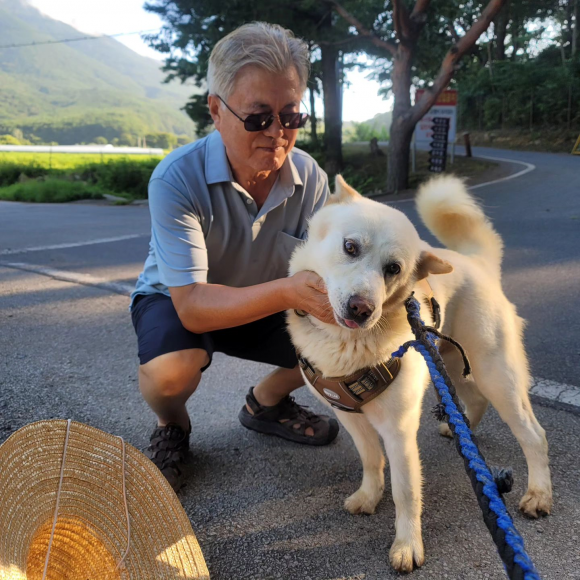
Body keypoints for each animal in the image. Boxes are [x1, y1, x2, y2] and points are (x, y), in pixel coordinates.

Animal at [288, 174, 552, 572]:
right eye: (350, 247)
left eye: (393, 269)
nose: (362, 308)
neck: (349, 345)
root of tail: (476, 263)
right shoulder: (349, 416)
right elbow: (371, 460)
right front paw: (369, 496)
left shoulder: (398, 431)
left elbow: (406, 491)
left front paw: (407, 545)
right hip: (452, 365)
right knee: (472, 400)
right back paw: (459, 429)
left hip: (496, 375)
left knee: (534, 435)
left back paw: (538, 494)